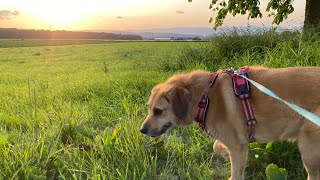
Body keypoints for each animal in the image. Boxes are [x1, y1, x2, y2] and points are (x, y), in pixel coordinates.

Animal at [140, 66, 320, 180]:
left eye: (158, 111)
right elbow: (217, 146)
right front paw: (226, 155)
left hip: (308, 148)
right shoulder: (237, 142)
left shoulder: (237, 145)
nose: (142, 130)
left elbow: (235, 173)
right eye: (148, 108)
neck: (205, 96)